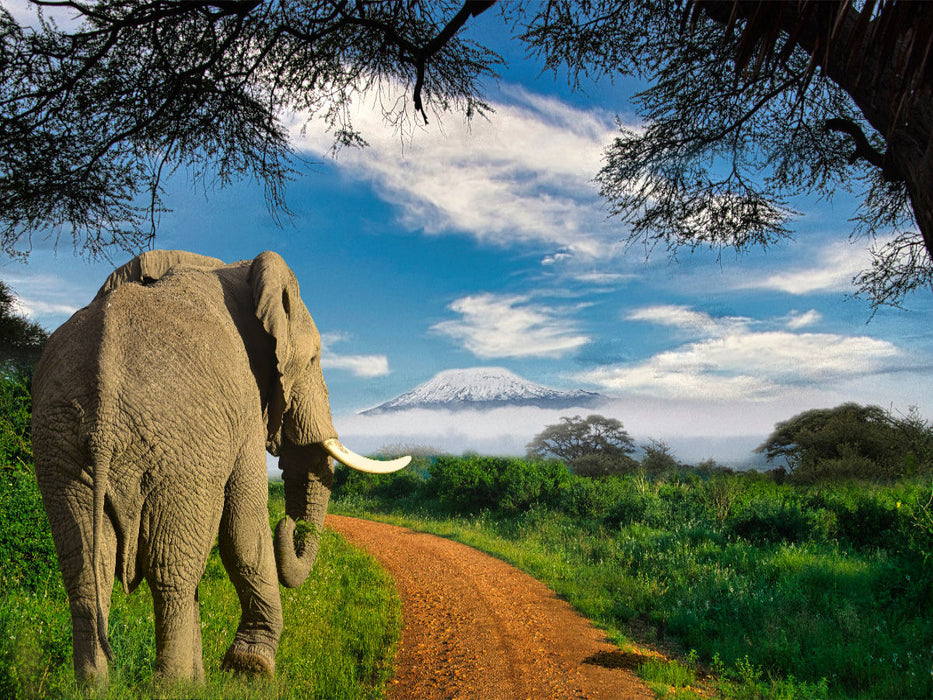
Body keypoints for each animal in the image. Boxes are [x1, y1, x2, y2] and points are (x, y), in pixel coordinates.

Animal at [31, 250, 408, 684]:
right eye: (313, 359)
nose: (289, 525)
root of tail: (103, 412)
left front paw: (217, 677)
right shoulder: (242, 401)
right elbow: (244, 526)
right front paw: (251, 668)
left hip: (62, 449)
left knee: (86, 571)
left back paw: (98, 687)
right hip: (179, 451)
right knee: (171, 572)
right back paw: (174, 687)